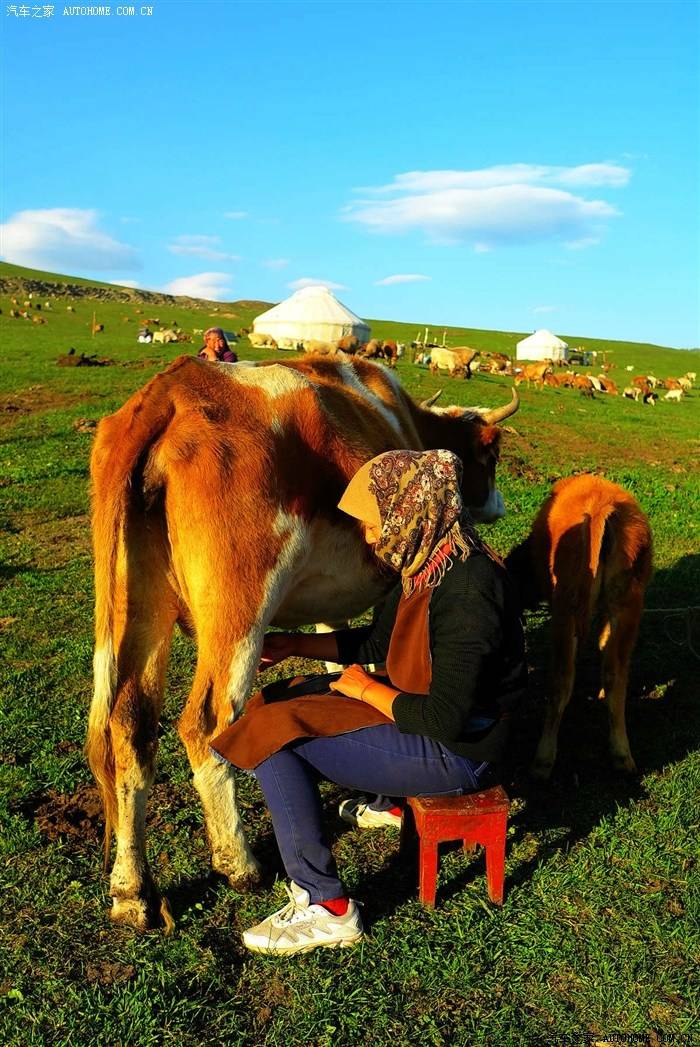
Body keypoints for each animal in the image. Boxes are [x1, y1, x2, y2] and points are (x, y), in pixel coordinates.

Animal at [85, 355, 518, 929]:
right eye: (490, 452)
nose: (499, 503)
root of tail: (172, 390)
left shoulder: (334, 602)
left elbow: (342, 668)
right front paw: (382, 803)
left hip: (139, 607)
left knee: (130, 727)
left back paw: (131, 890)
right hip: (240, 610)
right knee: (206, 724)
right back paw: (239, 864)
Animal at [504, 475, 652, 778]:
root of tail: (600, 509)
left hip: (566, 612)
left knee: (561, 680)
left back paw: (542, 761)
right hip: (625, 605)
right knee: (615, 672)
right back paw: (621, 755)